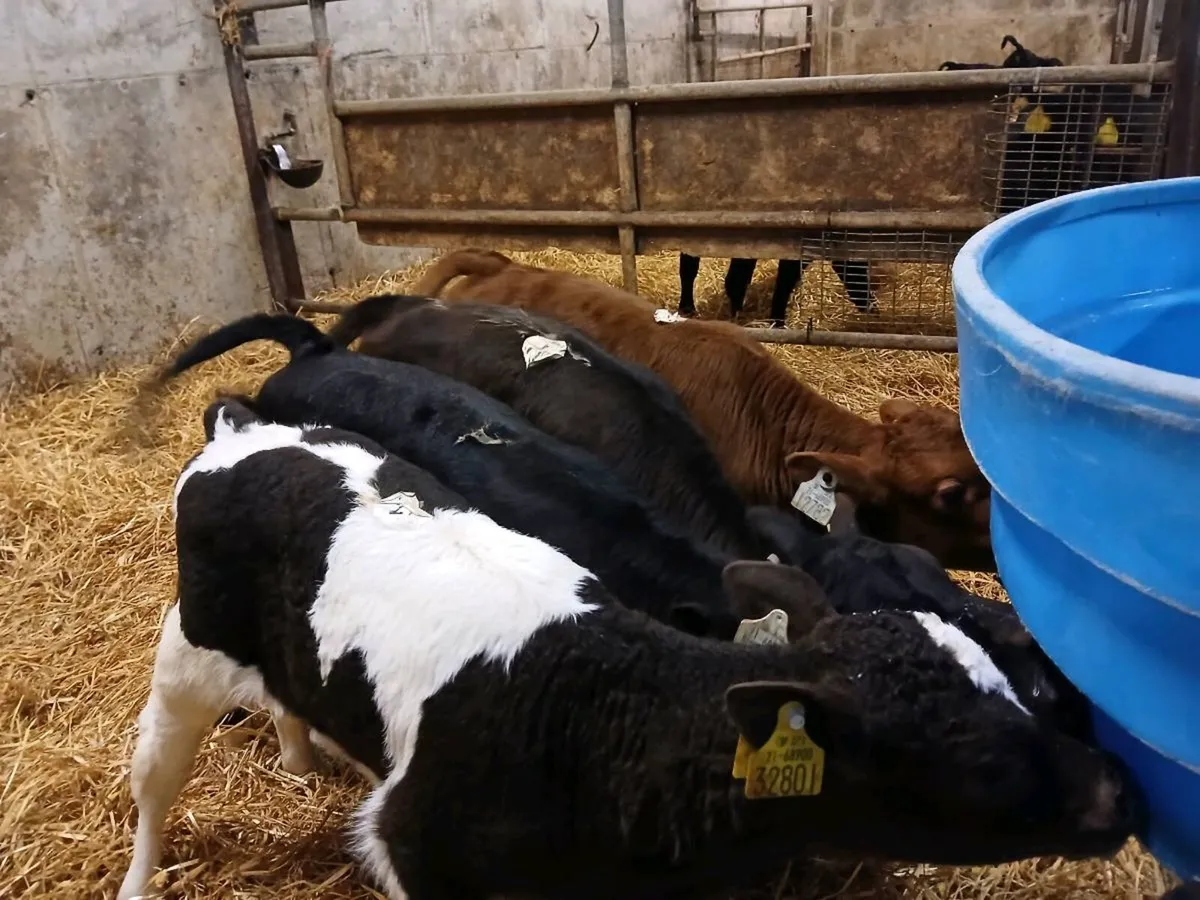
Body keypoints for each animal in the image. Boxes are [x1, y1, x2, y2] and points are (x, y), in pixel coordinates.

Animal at [117, 397, 1140, 900]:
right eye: (981, 758)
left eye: (1013, 689)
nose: (1118, 787)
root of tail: (248, 430)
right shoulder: (413, 846)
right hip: (186, 653)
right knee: (154, 779)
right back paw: (138, 880)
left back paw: (298, 758)